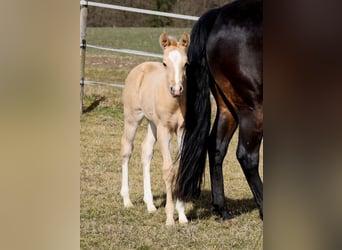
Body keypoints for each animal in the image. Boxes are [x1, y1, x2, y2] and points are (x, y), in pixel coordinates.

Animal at [120, 32, 190, 226]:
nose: (176, 89)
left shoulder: (182, 130)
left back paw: (150, 204)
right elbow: (168, 170)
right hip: (133, 119)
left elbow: (180, 167)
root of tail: (140, 68)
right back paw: (127, 200)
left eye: (186, 63)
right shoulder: (164, 130)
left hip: (152, 124)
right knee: (127, 150)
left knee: (146, 151)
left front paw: (182, 215)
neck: (174, 103)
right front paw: (170, 218)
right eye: (165, 63)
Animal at [175, 0, 264, 220]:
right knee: (247, 156)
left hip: (228, 109)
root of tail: (219, 15)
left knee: (216, 147)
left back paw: (222, 209)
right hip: (253, 108)